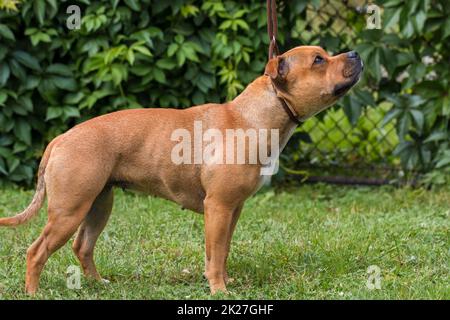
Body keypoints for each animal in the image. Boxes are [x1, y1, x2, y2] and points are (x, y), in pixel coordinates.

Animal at [0, 45, 362, 296]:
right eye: (318, 60)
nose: (355, 53)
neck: (255, 116)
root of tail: (60, 139)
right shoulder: (218, 206)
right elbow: (215, 254)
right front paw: (219, 290)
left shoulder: (232, 209)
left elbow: (221, 251)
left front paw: (223, 281)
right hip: (69, 210)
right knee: (37, 251)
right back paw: (33, 292)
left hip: (98, 205)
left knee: (82, 247)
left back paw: (98, 283)